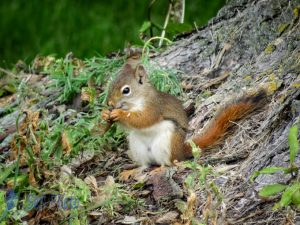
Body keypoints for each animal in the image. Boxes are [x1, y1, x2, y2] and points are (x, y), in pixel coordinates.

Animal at [102, 62, 266, 168]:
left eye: (126, 90)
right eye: (111, 85)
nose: (109, 103)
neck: (136, 101)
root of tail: (181, 150)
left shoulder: (155, 107)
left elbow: (144, 119)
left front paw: (119, 113)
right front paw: (105, 114)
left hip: (167, 143)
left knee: (170, 163)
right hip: (137, 146)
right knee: (146, 165)